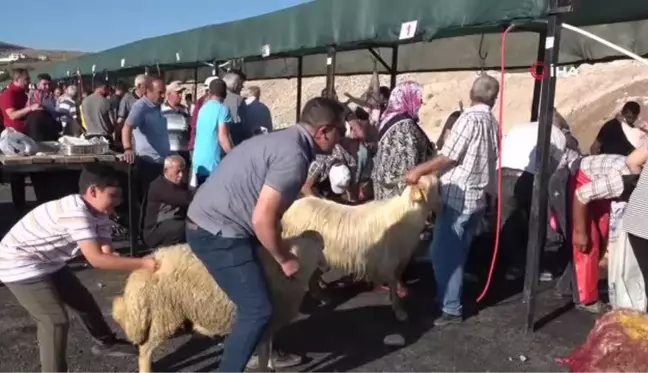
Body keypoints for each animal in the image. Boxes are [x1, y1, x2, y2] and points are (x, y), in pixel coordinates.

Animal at [112, 231, 326, 370]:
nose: (325, 265)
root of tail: (150, 260)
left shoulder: (268, 327)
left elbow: (267, 349)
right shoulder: (267, 322)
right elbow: (264, 354)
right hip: (163, 314)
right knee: (145, 350)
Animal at [280, 174, 440, 320]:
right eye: (434, 186)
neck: (406, 213)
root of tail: (292, 207)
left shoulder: (399, 259)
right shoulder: (389, 260)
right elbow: (394, 284)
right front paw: (399, 310)